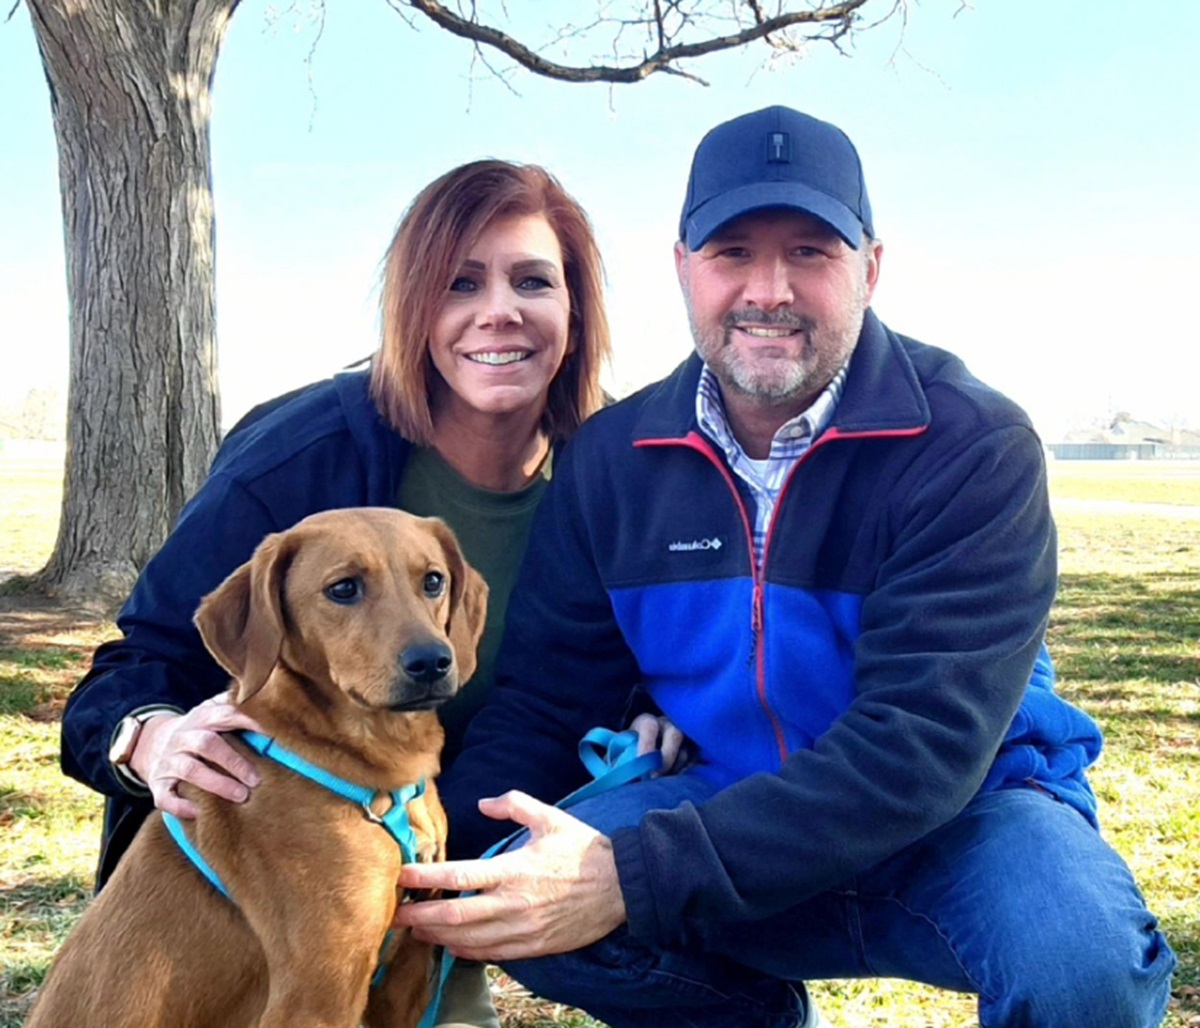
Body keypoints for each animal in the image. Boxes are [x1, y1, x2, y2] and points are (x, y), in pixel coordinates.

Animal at [28, 508, 487, 1026]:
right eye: (343, 588)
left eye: (433, 581)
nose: (432, 661)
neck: (384, 772)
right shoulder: (317, 994)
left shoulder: (408, 968)